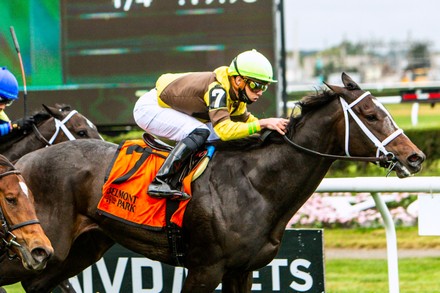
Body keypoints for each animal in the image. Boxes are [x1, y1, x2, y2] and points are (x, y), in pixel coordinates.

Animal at [2, 72, 422, 290]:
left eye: (382, 110)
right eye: (371, 114)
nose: (414, 157)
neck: (255, 185)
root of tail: (22, 162)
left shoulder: (242, 270)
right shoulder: (205, 269)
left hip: (78, 250)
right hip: (41, 247)